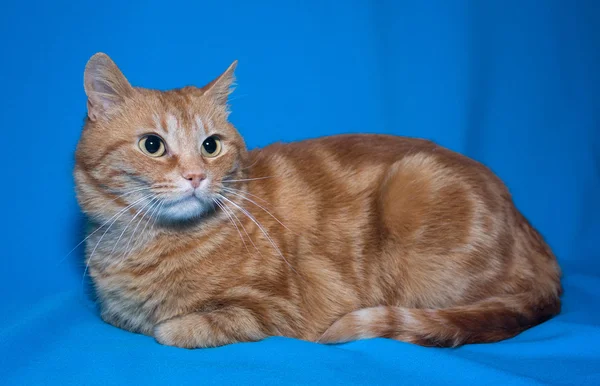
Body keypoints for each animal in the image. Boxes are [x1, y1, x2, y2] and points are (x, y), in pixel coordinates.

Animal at [74, 52, 564, 348]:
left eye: (211, 146)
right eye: (152, 145)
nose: (196, 176)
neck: (144, 247)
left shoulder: (275, 308)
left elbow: (180, 328)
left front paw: (172, 325)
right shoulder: (112, 313)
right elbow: (121, 317)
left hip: (414, 185)